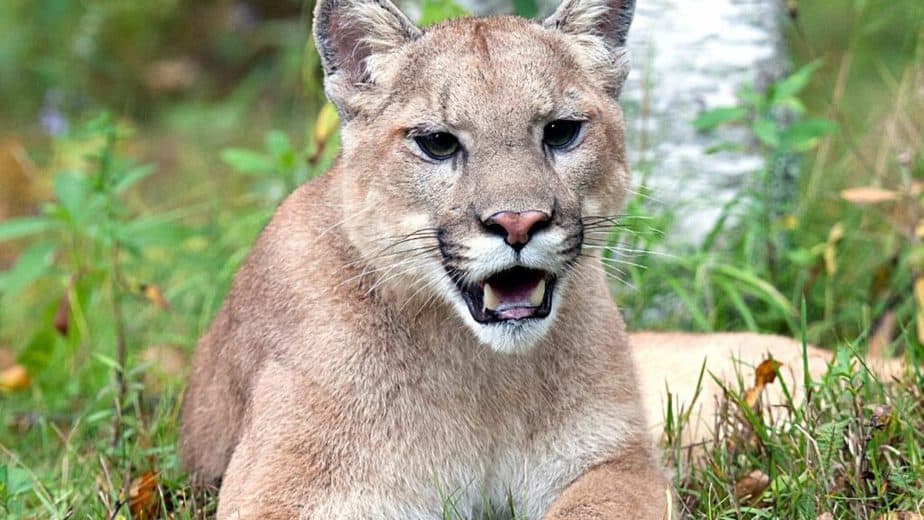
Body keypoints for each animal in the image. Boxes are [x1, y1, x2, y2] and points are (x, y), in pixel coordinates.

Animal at [180, 0, 672, 516]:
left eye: (561, 131)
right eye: (437, 142)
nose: (518, 222)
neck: (484, 369)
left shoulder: (619, 460)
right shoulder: (281, 490)